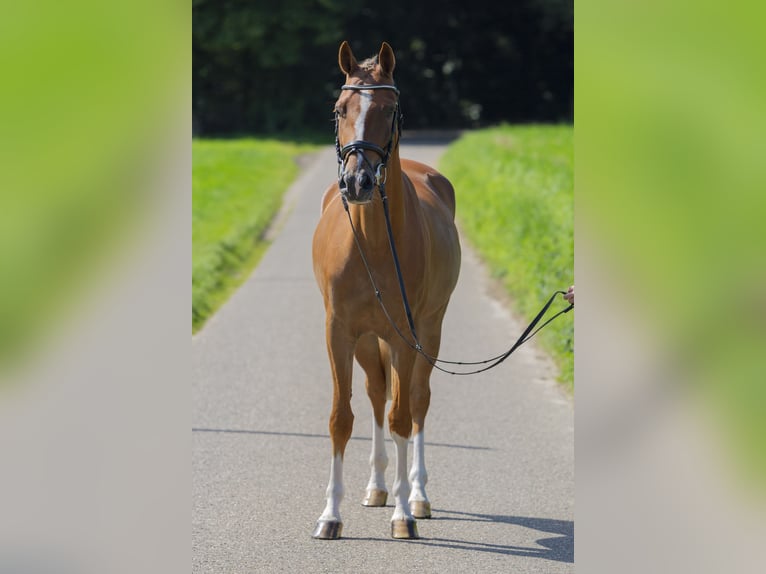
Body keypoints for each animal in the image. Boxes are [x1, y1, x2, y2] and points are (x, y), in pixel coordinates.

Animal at [311, 41, 461, 540]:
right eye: (339, 109)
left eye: (389, 110)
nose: (357, 182)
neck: (373, 242)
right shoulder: (339, 332)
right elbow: (342, 418)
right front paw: (330, 515)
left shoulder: (404, 336)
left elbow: (402, 416)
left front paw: (403, 516)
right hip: (368, 338)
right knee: (377, 394)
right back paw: (377, 488)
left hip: (427, 334)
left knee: (414, 401)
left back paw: (415, 495)